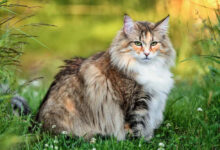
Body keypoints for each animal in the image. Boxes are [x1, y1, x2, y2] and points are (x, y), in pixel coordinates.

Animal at [35, 14, 175, 141]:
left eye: (154, 43)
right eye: (138, 43)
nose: (146, 54)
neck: (148, 68)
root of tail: (37, 126)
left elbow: (147, 128)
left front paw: (148, 139)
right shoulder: (135, 105)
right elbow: (136, 128)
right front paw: (141, 142)